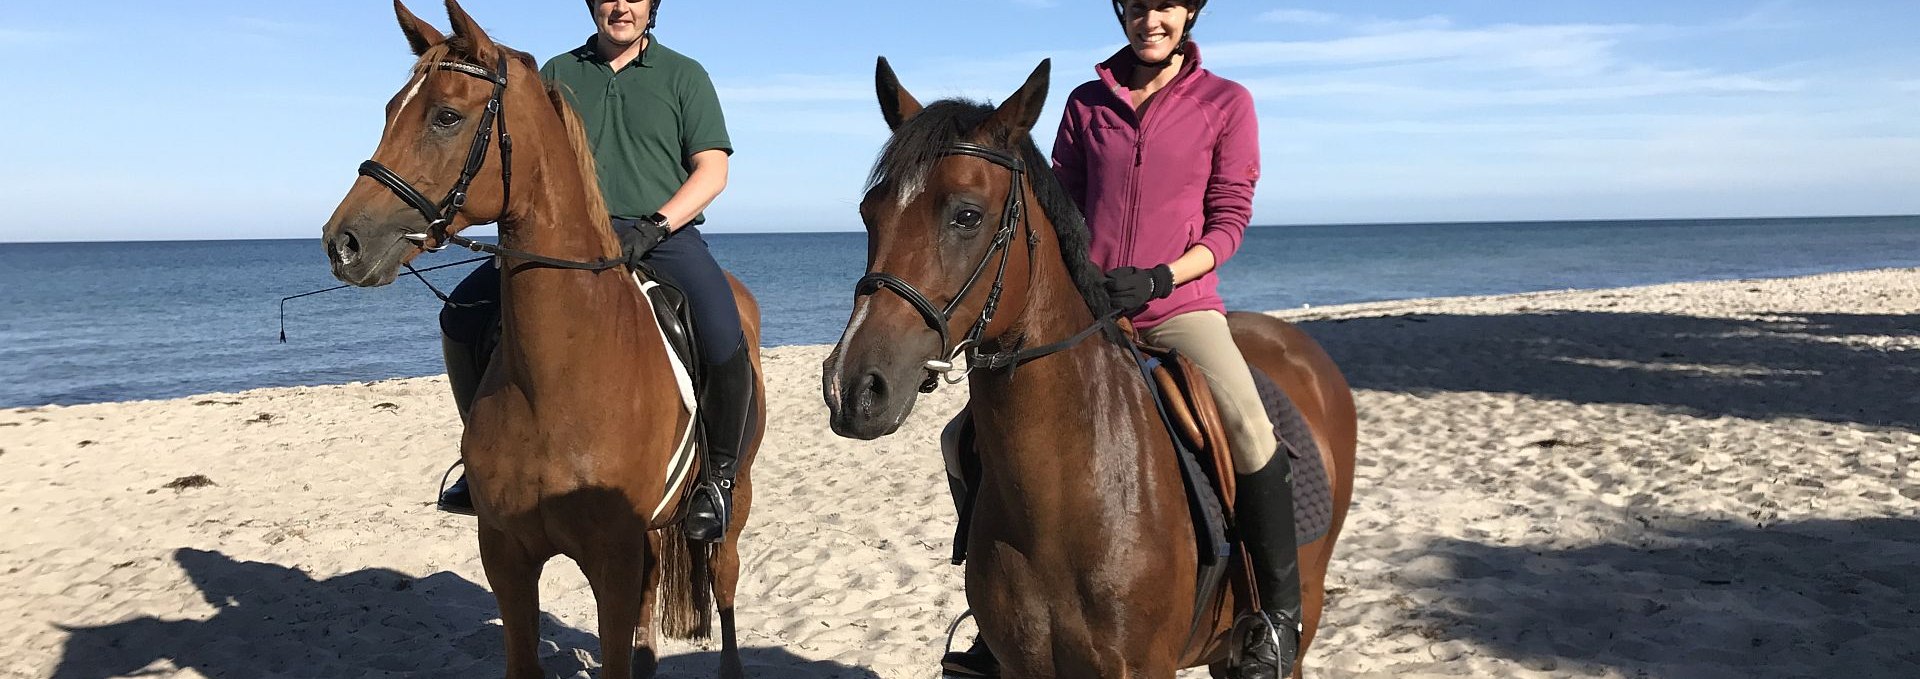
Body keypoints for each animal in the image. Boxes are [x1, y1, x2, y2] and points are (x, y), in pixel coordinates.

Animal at [318, 2, 760, 675]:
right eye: (391, 109)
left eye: (446, 116)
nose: (344, 242)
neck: (561, 376)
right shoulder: (507, 556)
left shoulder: (611, 560)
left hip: (734, 504)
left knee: (725, 577)